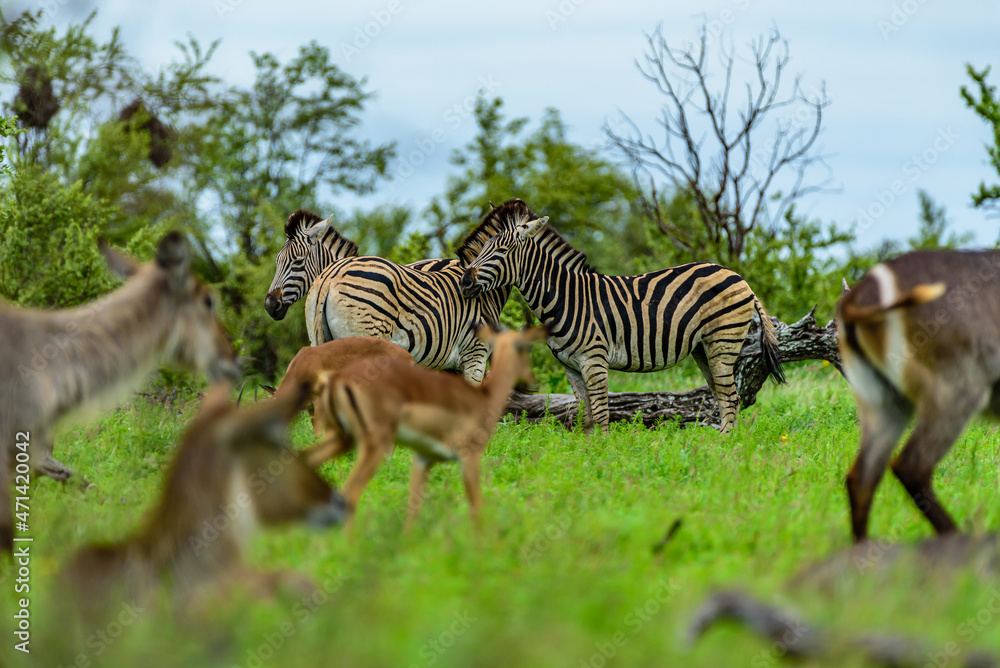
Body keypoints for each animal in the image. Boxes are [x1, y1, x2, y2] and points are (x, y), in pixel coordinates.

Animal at [458, 205, 785, 433]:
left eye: (501, 251)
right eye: (483, 247)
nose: (464, 281)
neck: (566, 298)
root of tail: (738, 277)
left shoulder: (594, 359)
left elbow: (602, 412)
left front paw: (602, 454)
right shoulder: (570, 367)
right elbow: (585, 413)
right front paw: (587, 453)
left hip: (723, 340)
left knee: (731, 398)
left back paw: (724, 447)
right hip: (703, 349)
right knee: (722, 395)